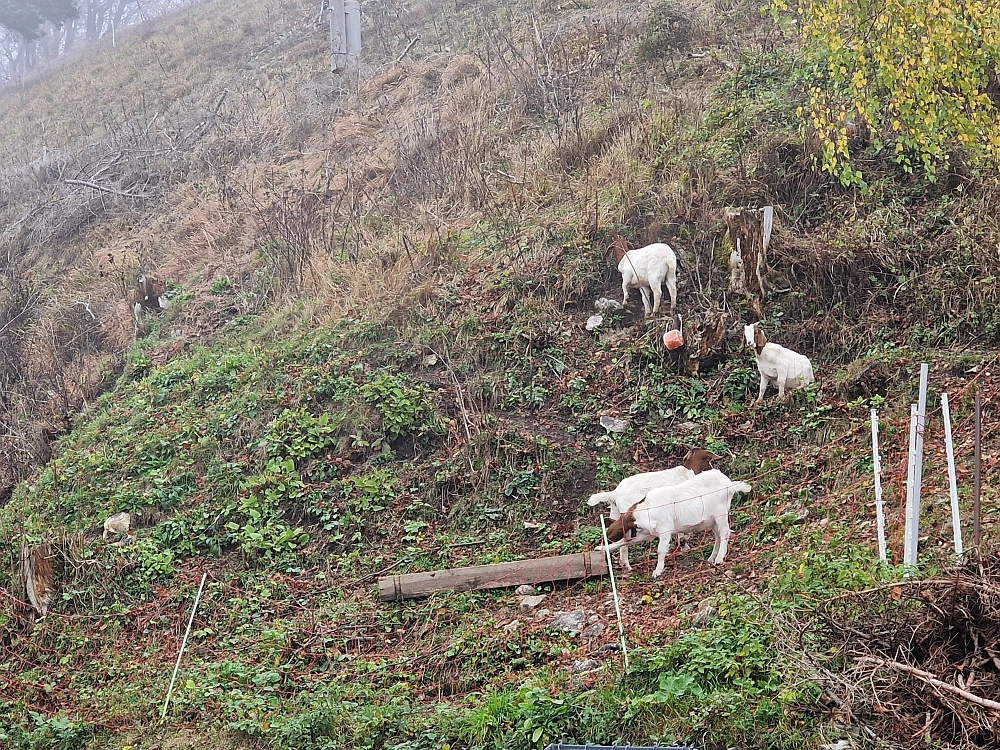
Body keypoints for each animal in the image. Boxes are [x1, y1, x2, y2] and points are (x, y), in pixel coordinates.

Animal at [584, 446, 720, 568]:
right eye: (709, 460)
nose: (713, 469)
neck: (688, 471)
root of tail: (615, 493)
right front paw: (684, 546)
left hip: (615, 514)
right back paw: (627, 566)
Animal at [592, 472, 752, 580]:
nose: (603, 540)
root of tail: (729, 483)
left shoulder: (665, 530)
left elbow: (661, 550)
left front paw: (657, 572)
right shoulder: (648, 533)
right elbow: (626, 541)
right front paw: (600, 548)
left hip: (721, 514)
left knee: (725, 532)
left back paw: (719, 558)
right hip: (711, 521)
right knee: (718, 535)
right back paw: (711, 558)